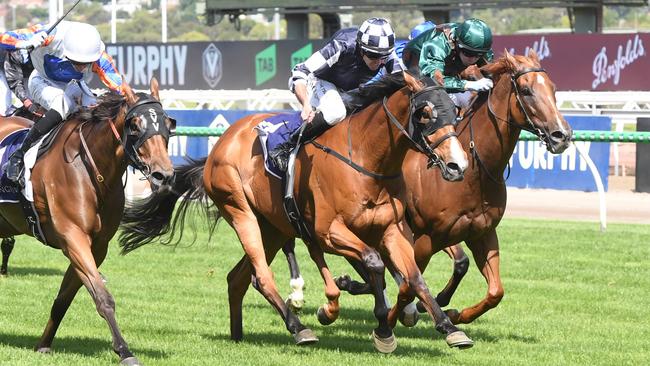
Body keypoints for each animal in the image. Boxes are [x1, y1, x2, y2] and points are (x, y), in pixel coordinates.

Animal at [0, 78, 175, 364]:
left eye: (168, 124)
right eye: (135, 125)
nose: (164, 175)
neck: (92, 171)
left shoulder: (96, 245)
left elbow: (65, 298)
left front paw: (43, 345)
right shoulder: (73, 237)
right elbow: (103, 297)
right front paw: (124, 351)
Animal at [117, 72, 470, 352]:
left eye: (456, 111)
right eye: (425, 113)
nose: (457, 165)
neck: (367, 160)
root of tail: (223, 141)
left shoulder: (392, 229)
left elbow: (414, 277)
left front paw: (449, 327)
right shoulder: (328, 232)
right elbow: (373, 263)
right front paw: (382, 330)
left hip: (274, 227)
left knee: (238, 277)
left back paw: (238, 334)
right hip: (241, 212)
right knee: (261, 275)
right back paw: (298, 327)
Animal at [280, 49, 568, 326]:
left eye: (553, 88)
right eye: (527, 90)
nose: (562, 135)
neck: (476, 172)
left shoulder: (481, 233)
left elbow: (493, 290)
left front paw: (453, 313)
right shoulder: (426, 236)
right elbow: (409, 282)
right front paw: (402, 315)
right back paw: (302, 292)